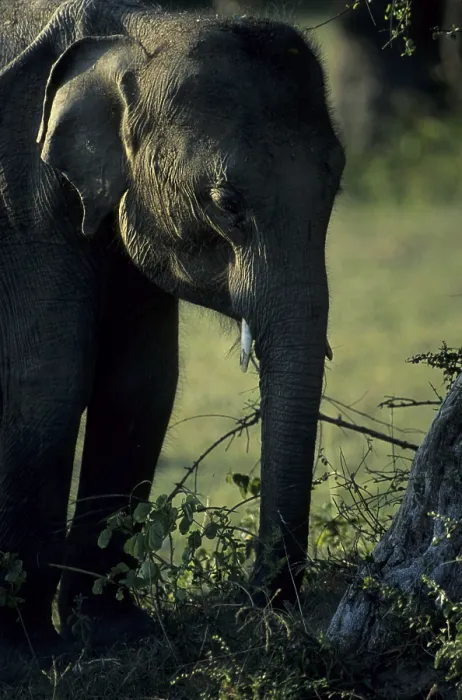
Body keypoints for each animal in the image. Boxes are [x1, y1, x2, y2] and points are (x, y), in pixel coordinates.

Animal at [0, 0, 344, 670]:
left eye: (337, 186)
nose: (258, 598)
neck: (133, 29)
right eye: (227, 203)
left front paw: (117, 634)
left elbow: (142, 384)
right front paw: (30, 655)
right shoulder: (20, 209)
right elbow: (47, 384)